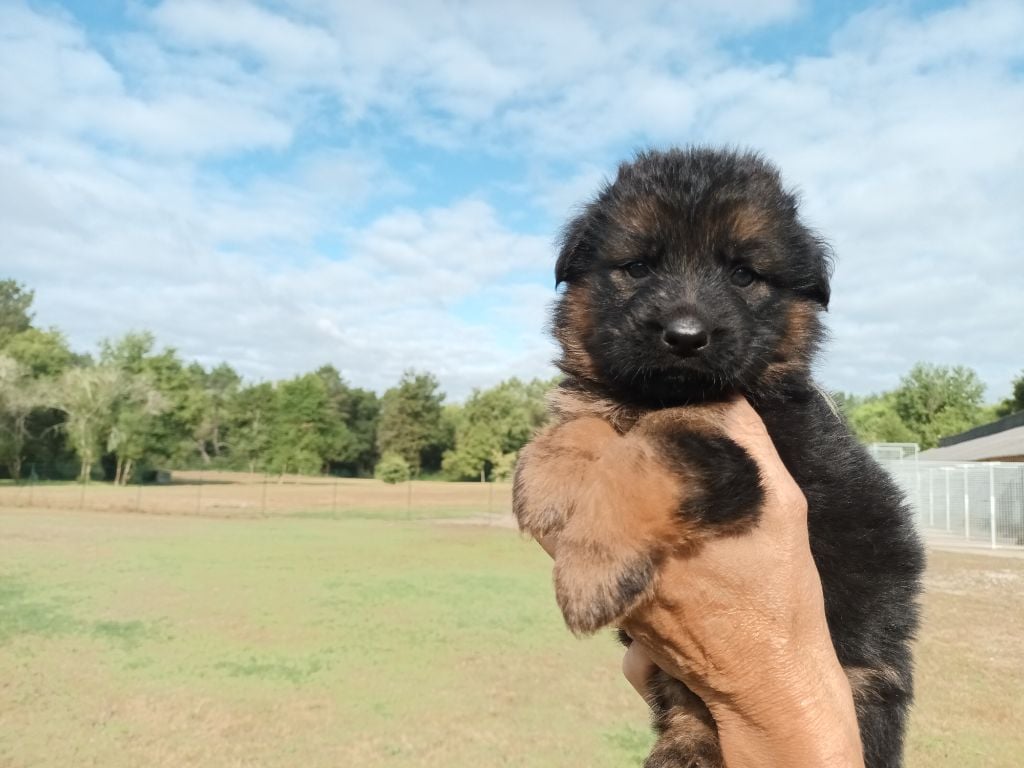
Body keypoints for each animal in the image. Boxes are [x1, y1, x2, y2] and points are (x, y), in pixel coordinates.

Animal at [516, 148, 925, 768]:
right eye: (638, 268)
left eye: (743, 274)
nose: (686, 336)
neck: (665, 395)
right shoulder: (607, 402)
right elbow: (581, 421)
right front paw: (542, 481)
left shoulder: (741, 461)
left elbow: (649, 452)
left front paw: (591, 572)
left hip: (863, 677)